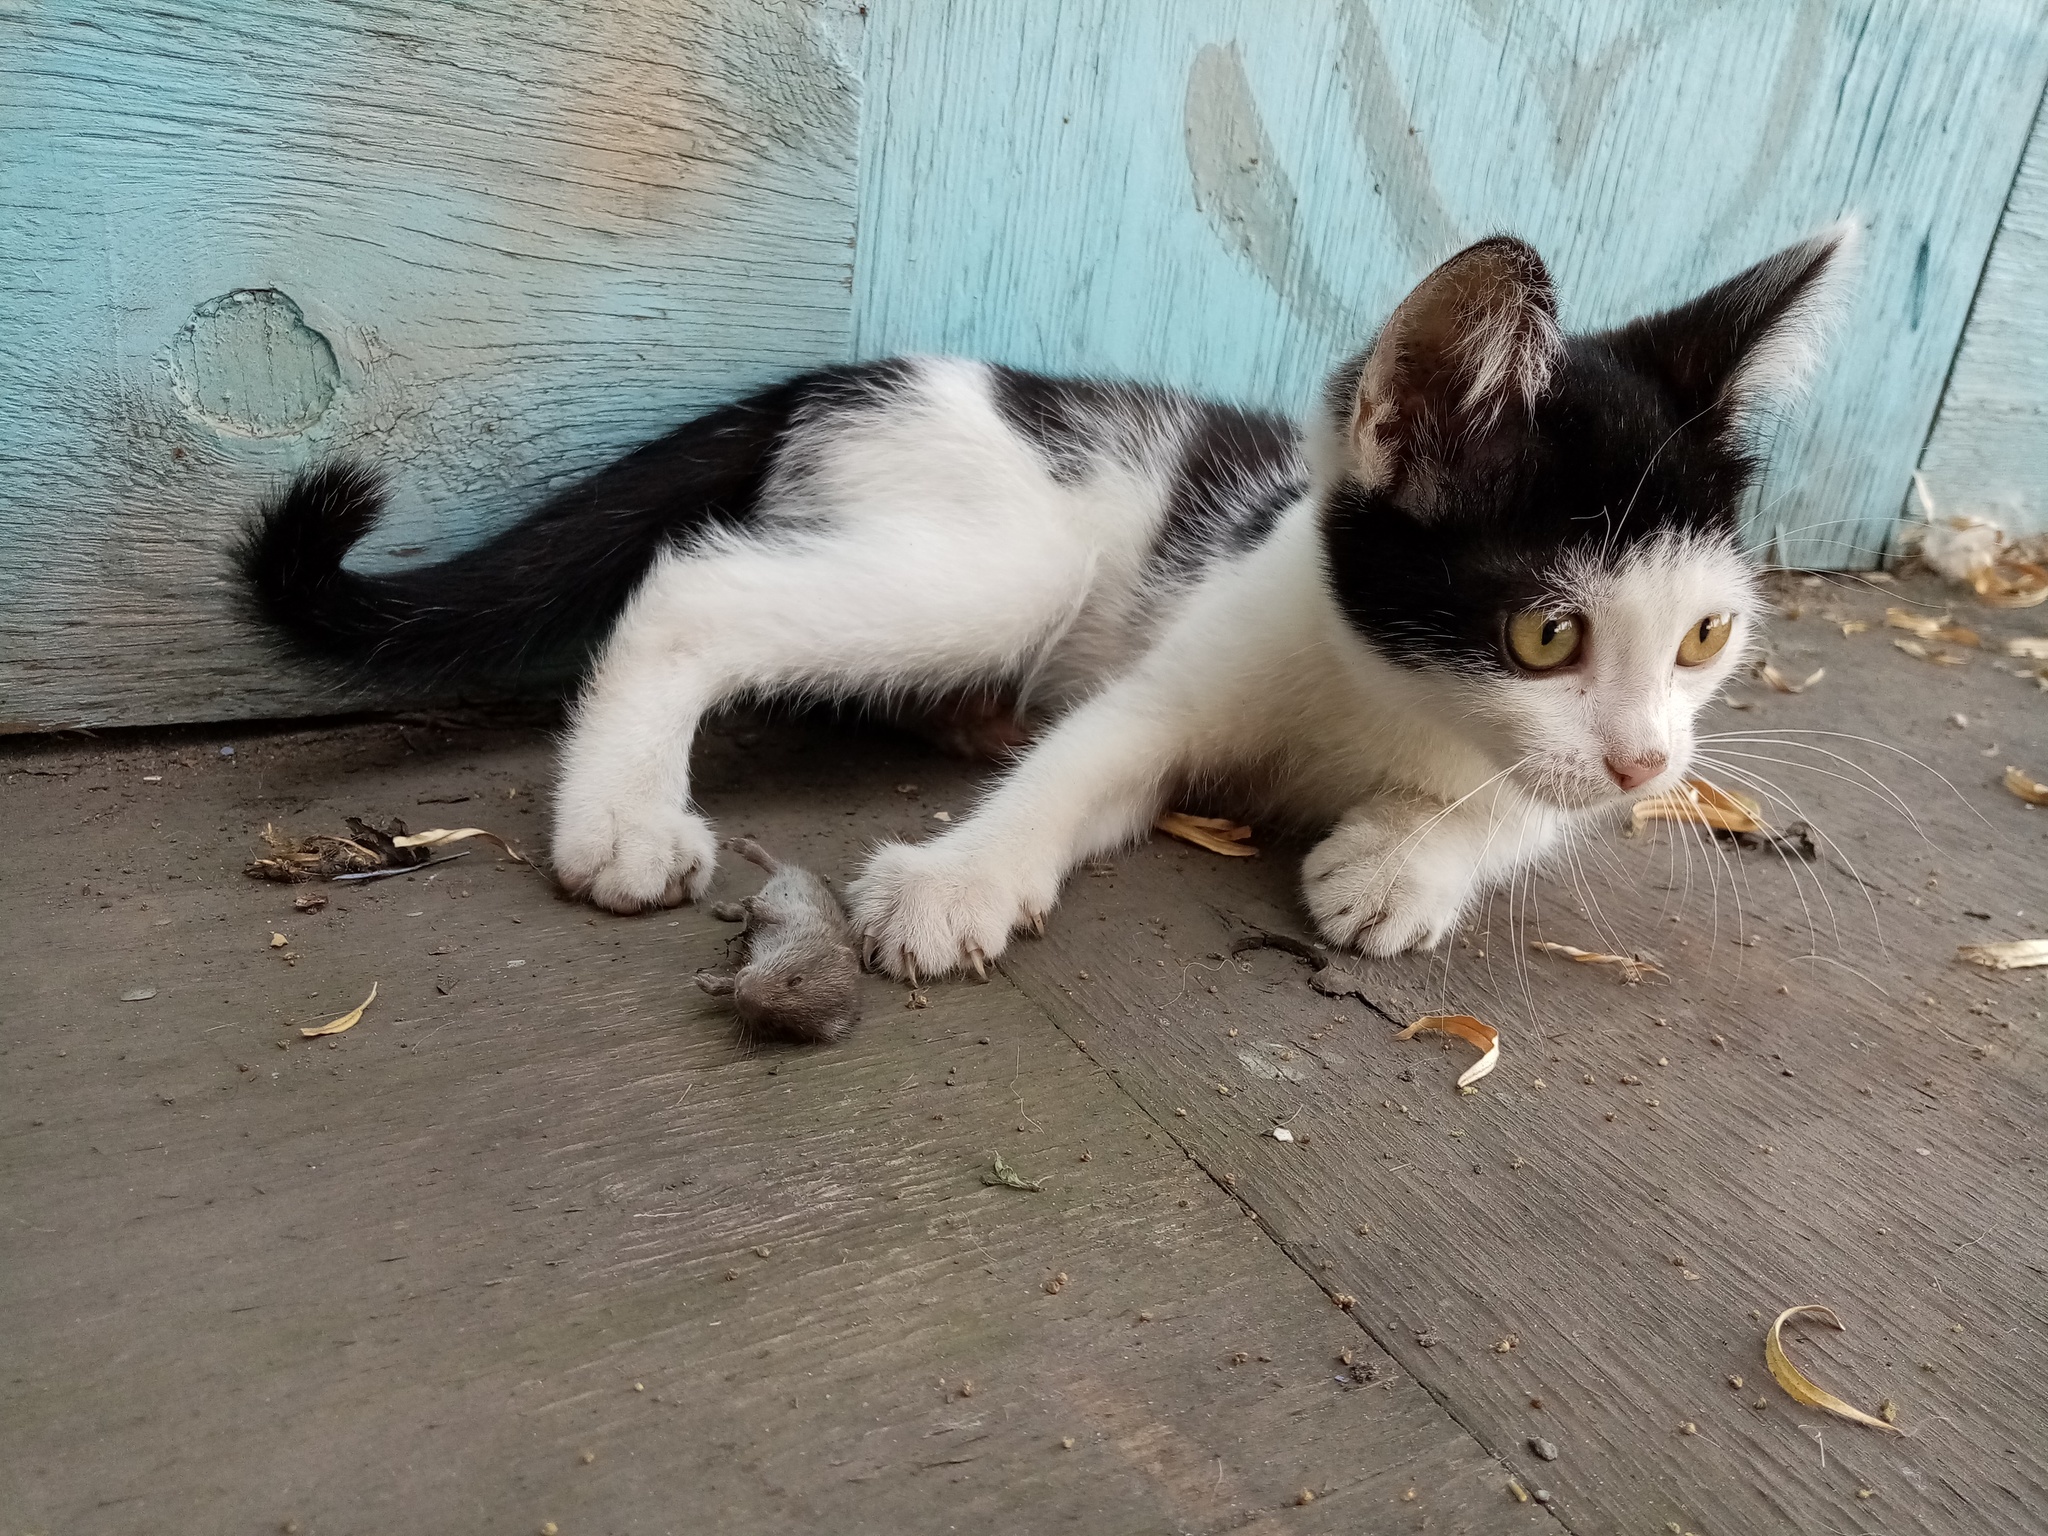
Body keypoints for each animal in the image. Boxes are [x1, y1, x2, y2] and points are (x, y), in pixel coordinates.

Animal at [239, 222, 1859, 978]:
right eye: (1544, 631)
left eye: (1706, 637)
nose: (1648, 757)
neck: (1392, 701)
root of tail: (856, 374)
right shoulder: (1204, 641)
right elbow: (1093, 756)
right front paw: (958, 878)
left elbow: (1527, 806)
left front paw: (1406, 862)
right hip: (1003, 560)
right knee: (698, 583)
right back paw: (625, 817)